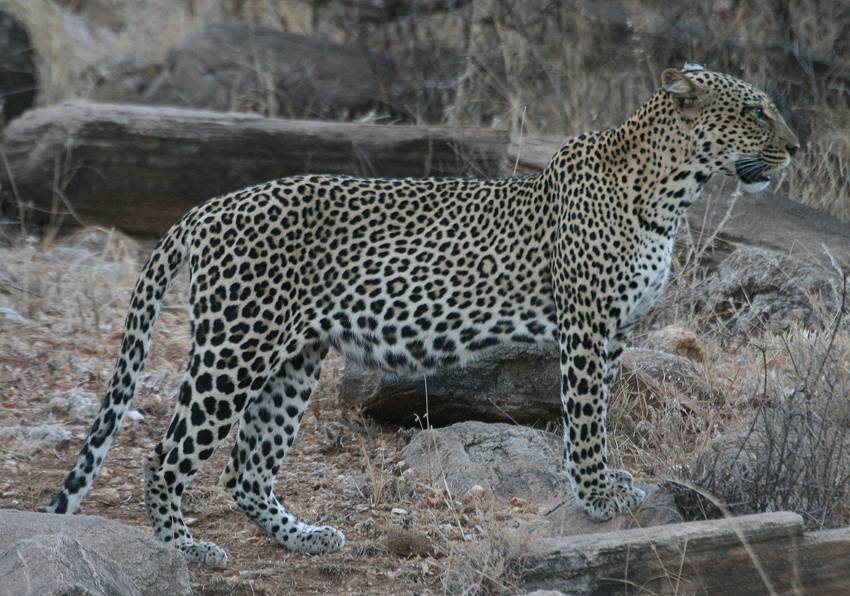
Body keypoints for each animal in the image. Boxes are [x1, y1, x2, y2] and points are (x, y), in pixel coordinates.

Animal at [41, 62, 796, 564]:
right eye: (758, 111)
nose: (795, 147)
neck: (673, 191)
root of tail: (206, 208)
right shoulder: (586, 327)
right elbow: (585, 419)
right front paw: (599, 498)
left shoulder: (615, 332)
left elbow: (601, 415)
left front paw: (608, 485)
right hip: (236, 348)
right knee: (165, 456)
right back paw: (183, 550)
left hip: (293, 359)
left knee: (246, 470)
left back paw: (307, 537)